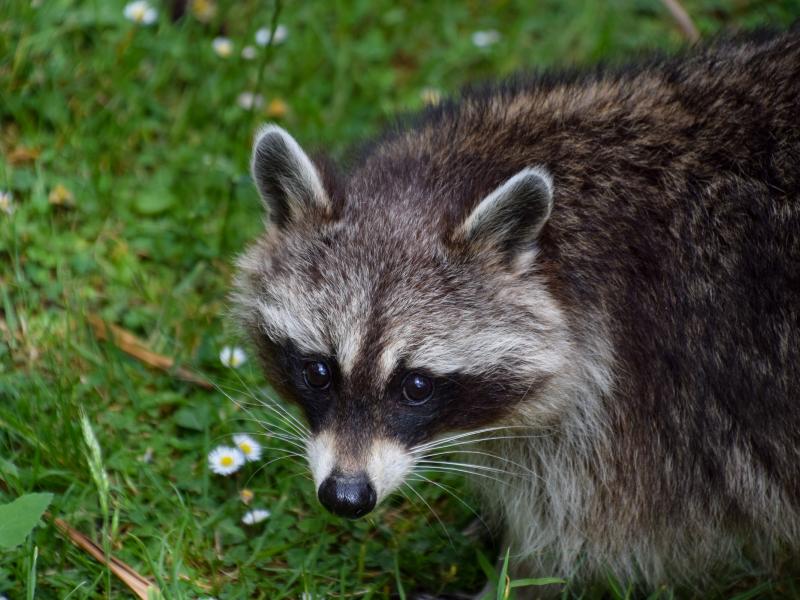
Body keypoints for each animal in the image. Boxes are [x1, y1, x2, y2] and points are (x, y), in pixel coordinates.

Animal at [232, 28, 800, 593]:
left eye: (416, 385)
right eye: (318, 371)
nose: (345, 496)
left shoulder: (640, 411)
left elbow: (579, 536)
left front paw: (509, 576)